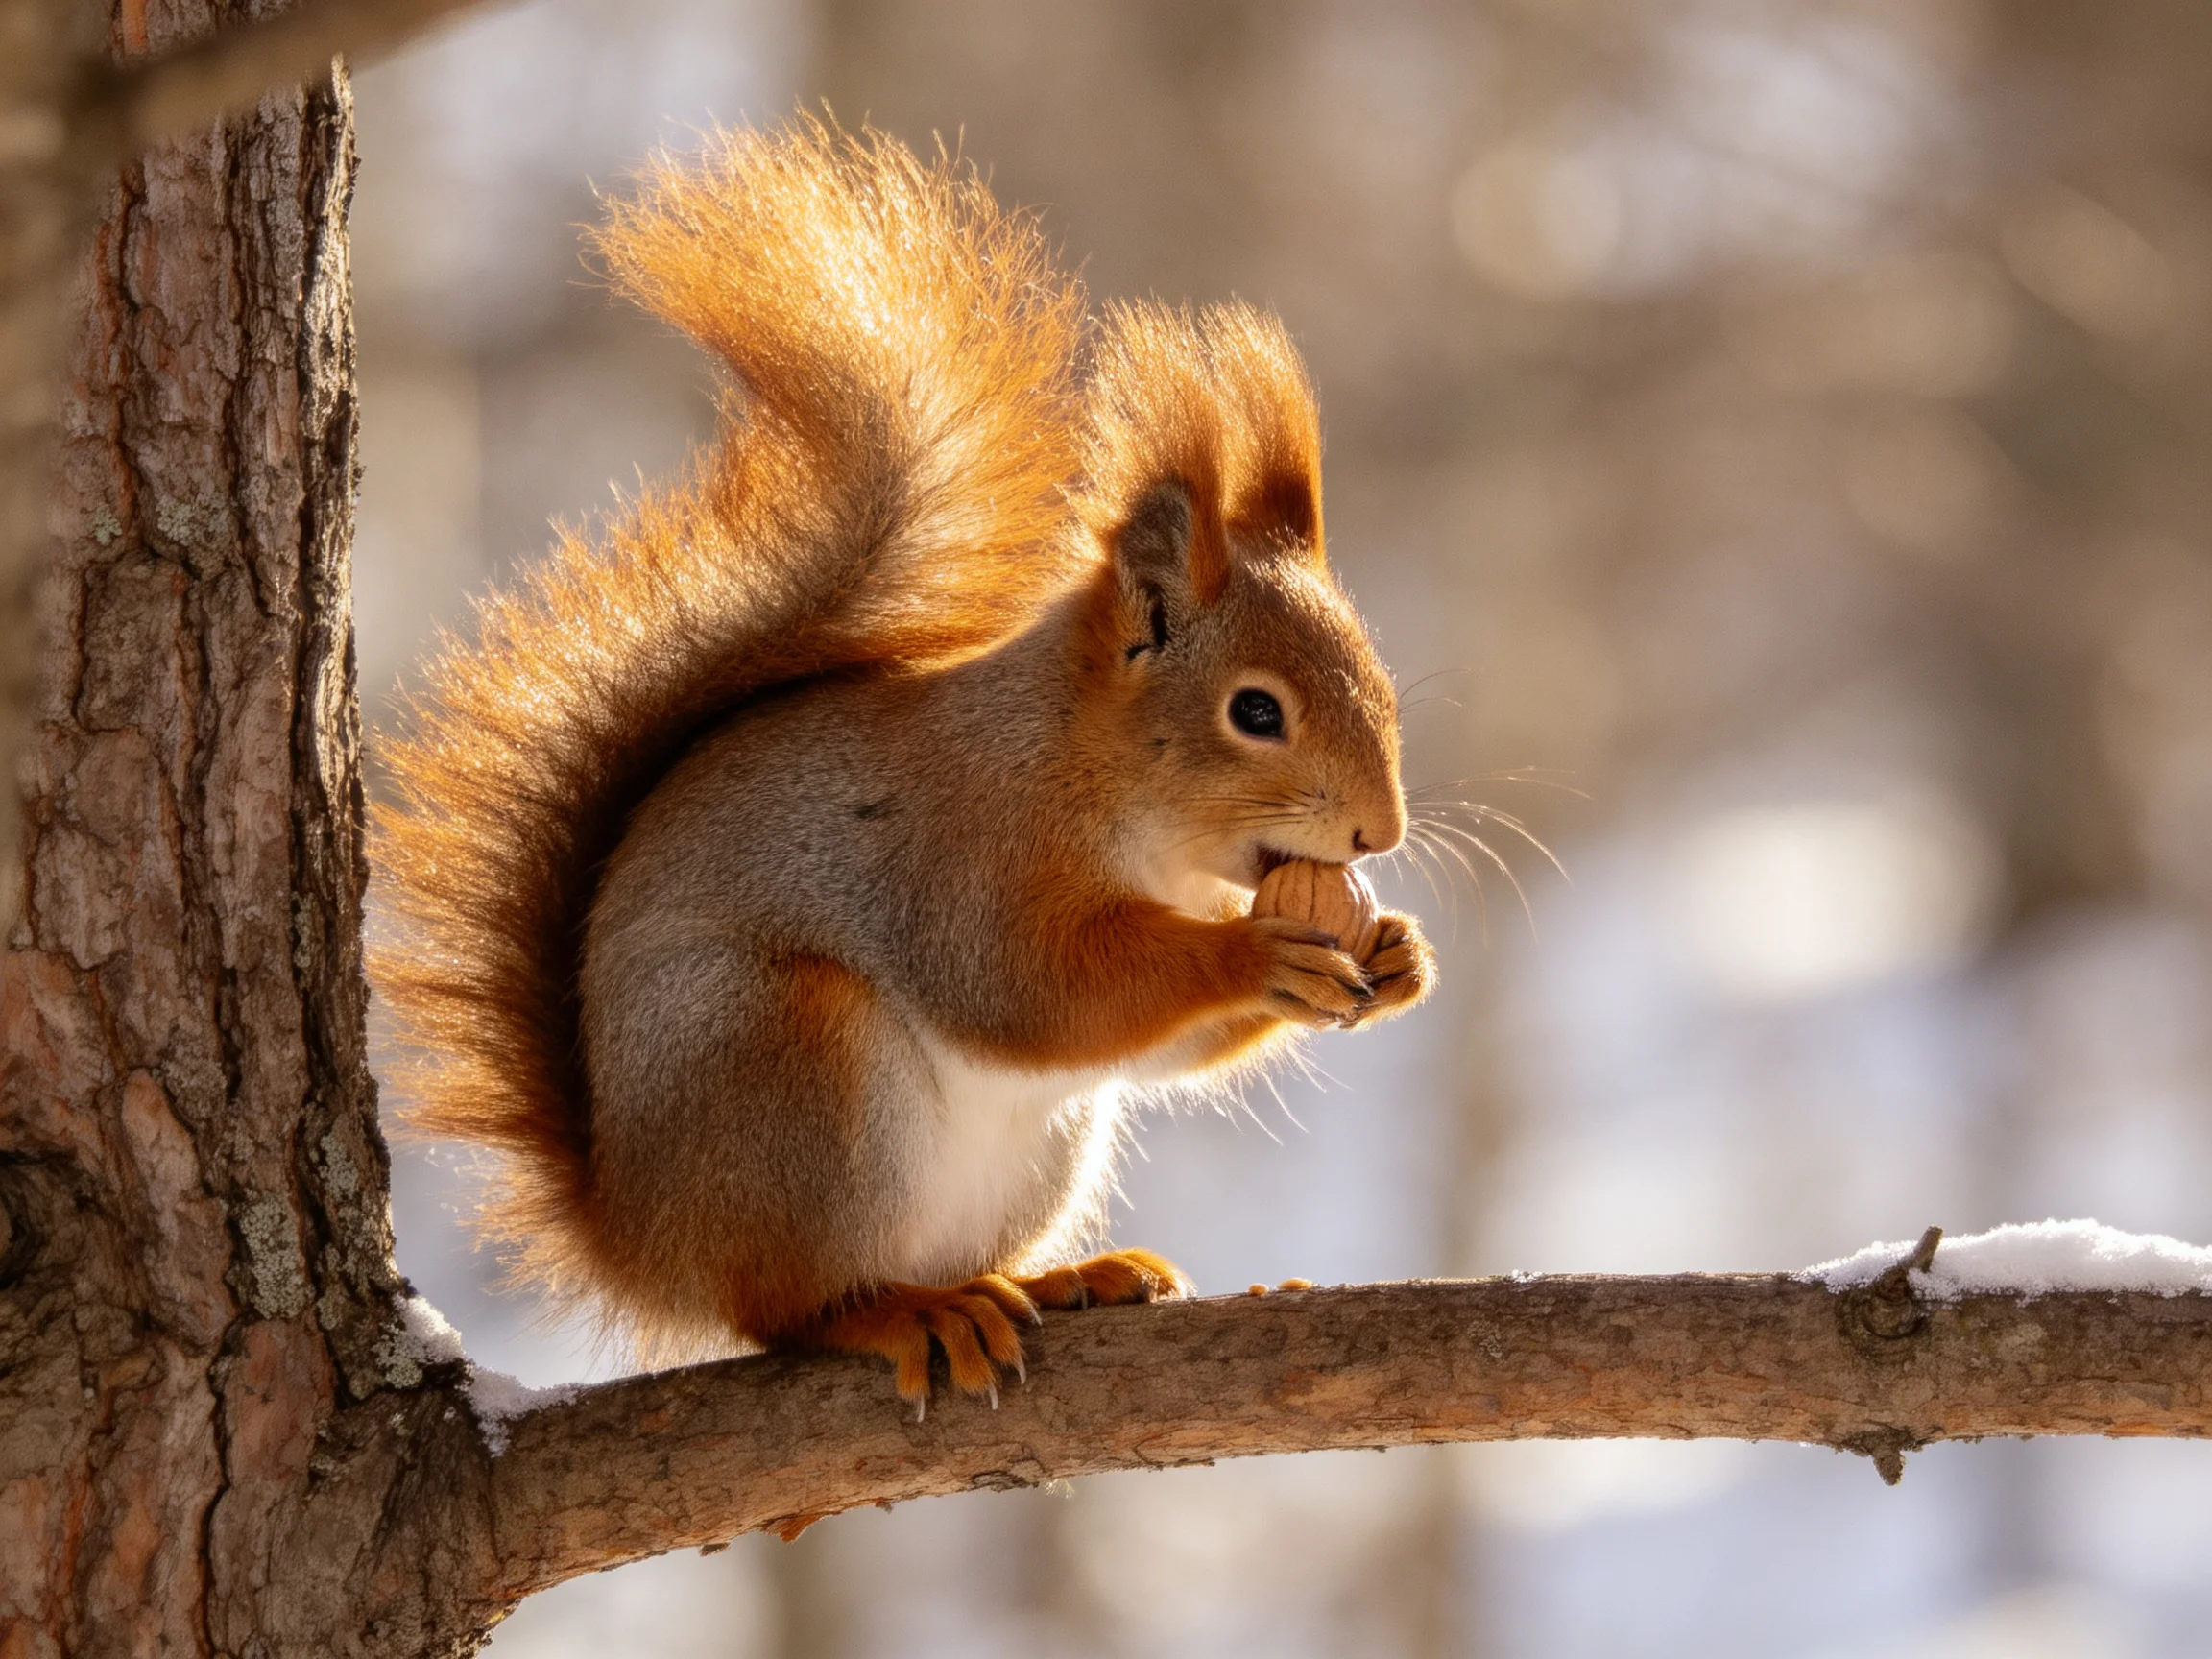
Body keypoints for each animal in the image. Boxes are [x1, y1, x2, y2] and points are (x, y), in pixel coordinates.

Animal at [370, 117, 1436, 1407]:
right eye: (1258, 712)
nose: (1381, 833)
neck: (1097, 776)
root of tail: (641, 1239)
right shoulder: (966, 848)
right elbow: (1036, 988)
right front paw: (1251, 953)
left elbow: (1159, 1043)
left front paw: (1394, 951)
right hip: (789, 1063)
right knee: (784, 1308)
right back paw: (903, 1312)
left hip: (1038, 1150)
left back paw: (1057, 1280)